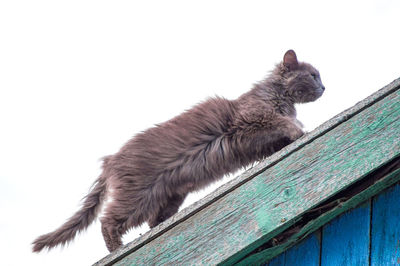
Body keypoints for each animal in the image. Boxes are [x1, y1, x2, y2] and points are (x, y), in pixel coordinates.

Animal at [31, 50, 324, 254]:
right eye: (313, 75)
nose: (324, 87)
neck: (280, 96)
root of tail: (111, 160)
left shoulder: (260, 141)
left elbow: (280, 135)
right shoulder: (251, 119)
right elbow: (284, 123)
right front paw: (300, 129)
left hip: (169, 195)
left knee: (151, 223)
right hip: (138, 196)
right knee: (108, 219)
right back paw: (117, 248)